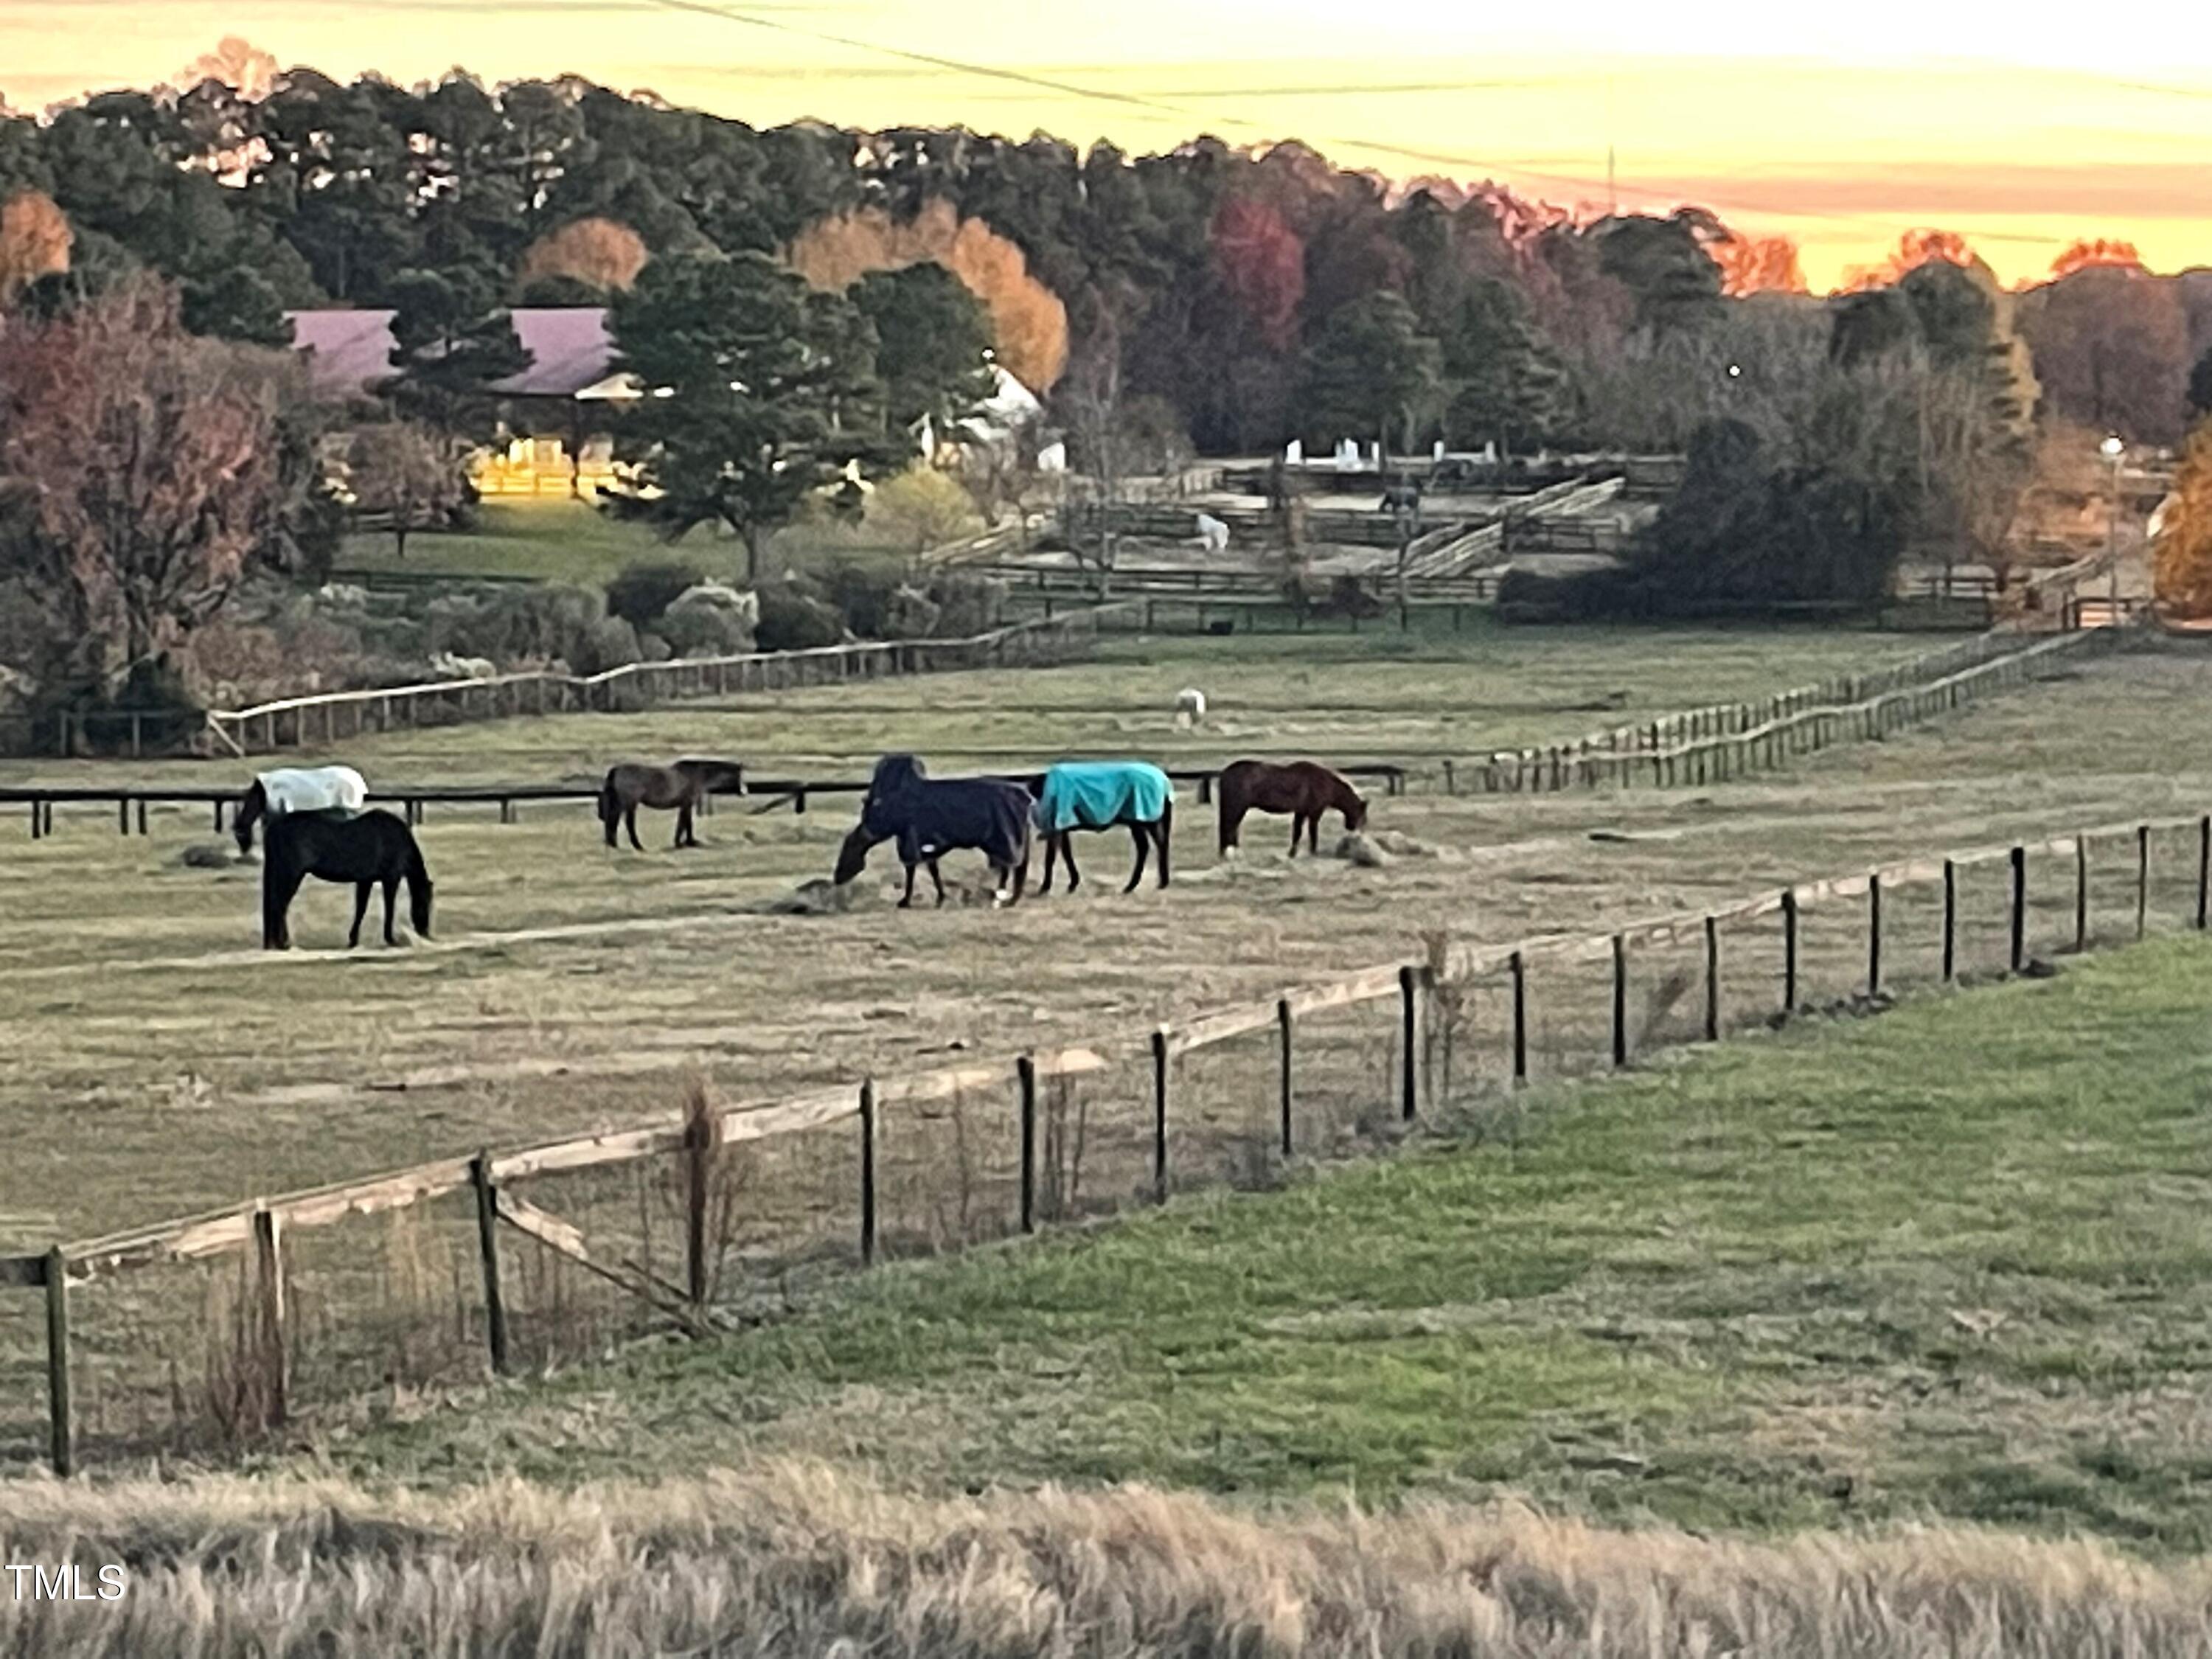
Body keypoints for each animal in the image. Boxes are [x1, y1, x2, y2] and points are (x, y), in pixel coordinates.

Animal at [261, 809, 434, 950]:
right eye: (425, 902)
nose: (425, 933)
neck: (396, 839)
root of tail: (274, 826)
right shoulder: (390, 879)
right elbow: (389, 909)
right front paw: (390, 940)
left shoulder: (365, 881)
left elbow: (361, 909)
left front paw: (353, 940)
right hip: (291, 875)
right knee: (279, 905)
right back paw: (282, 944)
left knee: (278, 905)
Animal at [599, 758, 746, 851]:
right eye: (740, 776)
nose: (744, 792)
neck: (697, 775)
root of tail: (617, 770)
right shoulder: (687, 804)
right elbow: (686, 823)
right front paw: (685, 843)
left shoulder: (685, 805)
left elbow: (684, 823)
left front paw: (685, 842)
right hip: (630, 804)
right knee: (628, 823)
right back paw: (638, 846)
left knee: (613, 820)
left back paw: (614, 844)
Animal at [832, 755, 1033, 909]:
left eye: (847, 849)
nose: (837, 878)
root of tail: (1024, 799)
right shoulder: (926, 846)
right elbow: (933, 871)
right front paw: (940, 898)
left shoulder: (910, 843)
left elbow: (911, 871)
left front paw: (905, 901)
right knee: (1011, 867)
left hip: (1003, 841)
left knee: (1009, 867)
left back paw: (1002, 897)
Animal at [1031, 761, 1174, 894]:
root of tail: (1164, 781)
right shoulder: (1062, 829)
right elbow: (1067, 853)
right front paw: (1073, 883)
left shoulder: (1056, 829)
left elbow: (1050, 857)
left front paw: (1045, 887)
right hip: (1148, 822)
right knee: (1159, 845)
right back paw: (1161, 883)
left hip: (1140, 822)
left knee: (1147, 847)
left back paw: (1132, 886)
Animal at [1217, 759, 1368, 857]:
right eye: (1363, 816)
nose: (1354, 829)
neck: (1326, 784)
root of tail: (1225, 773)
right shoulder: (1315, 813)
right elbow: (1312, 833)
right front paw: (1313, 853)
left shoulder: (1301, 812)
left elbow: (1297, 833)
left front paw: (1292, 854)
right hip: (1237, 808)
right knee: (1230, 827)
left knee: (1231, 828)